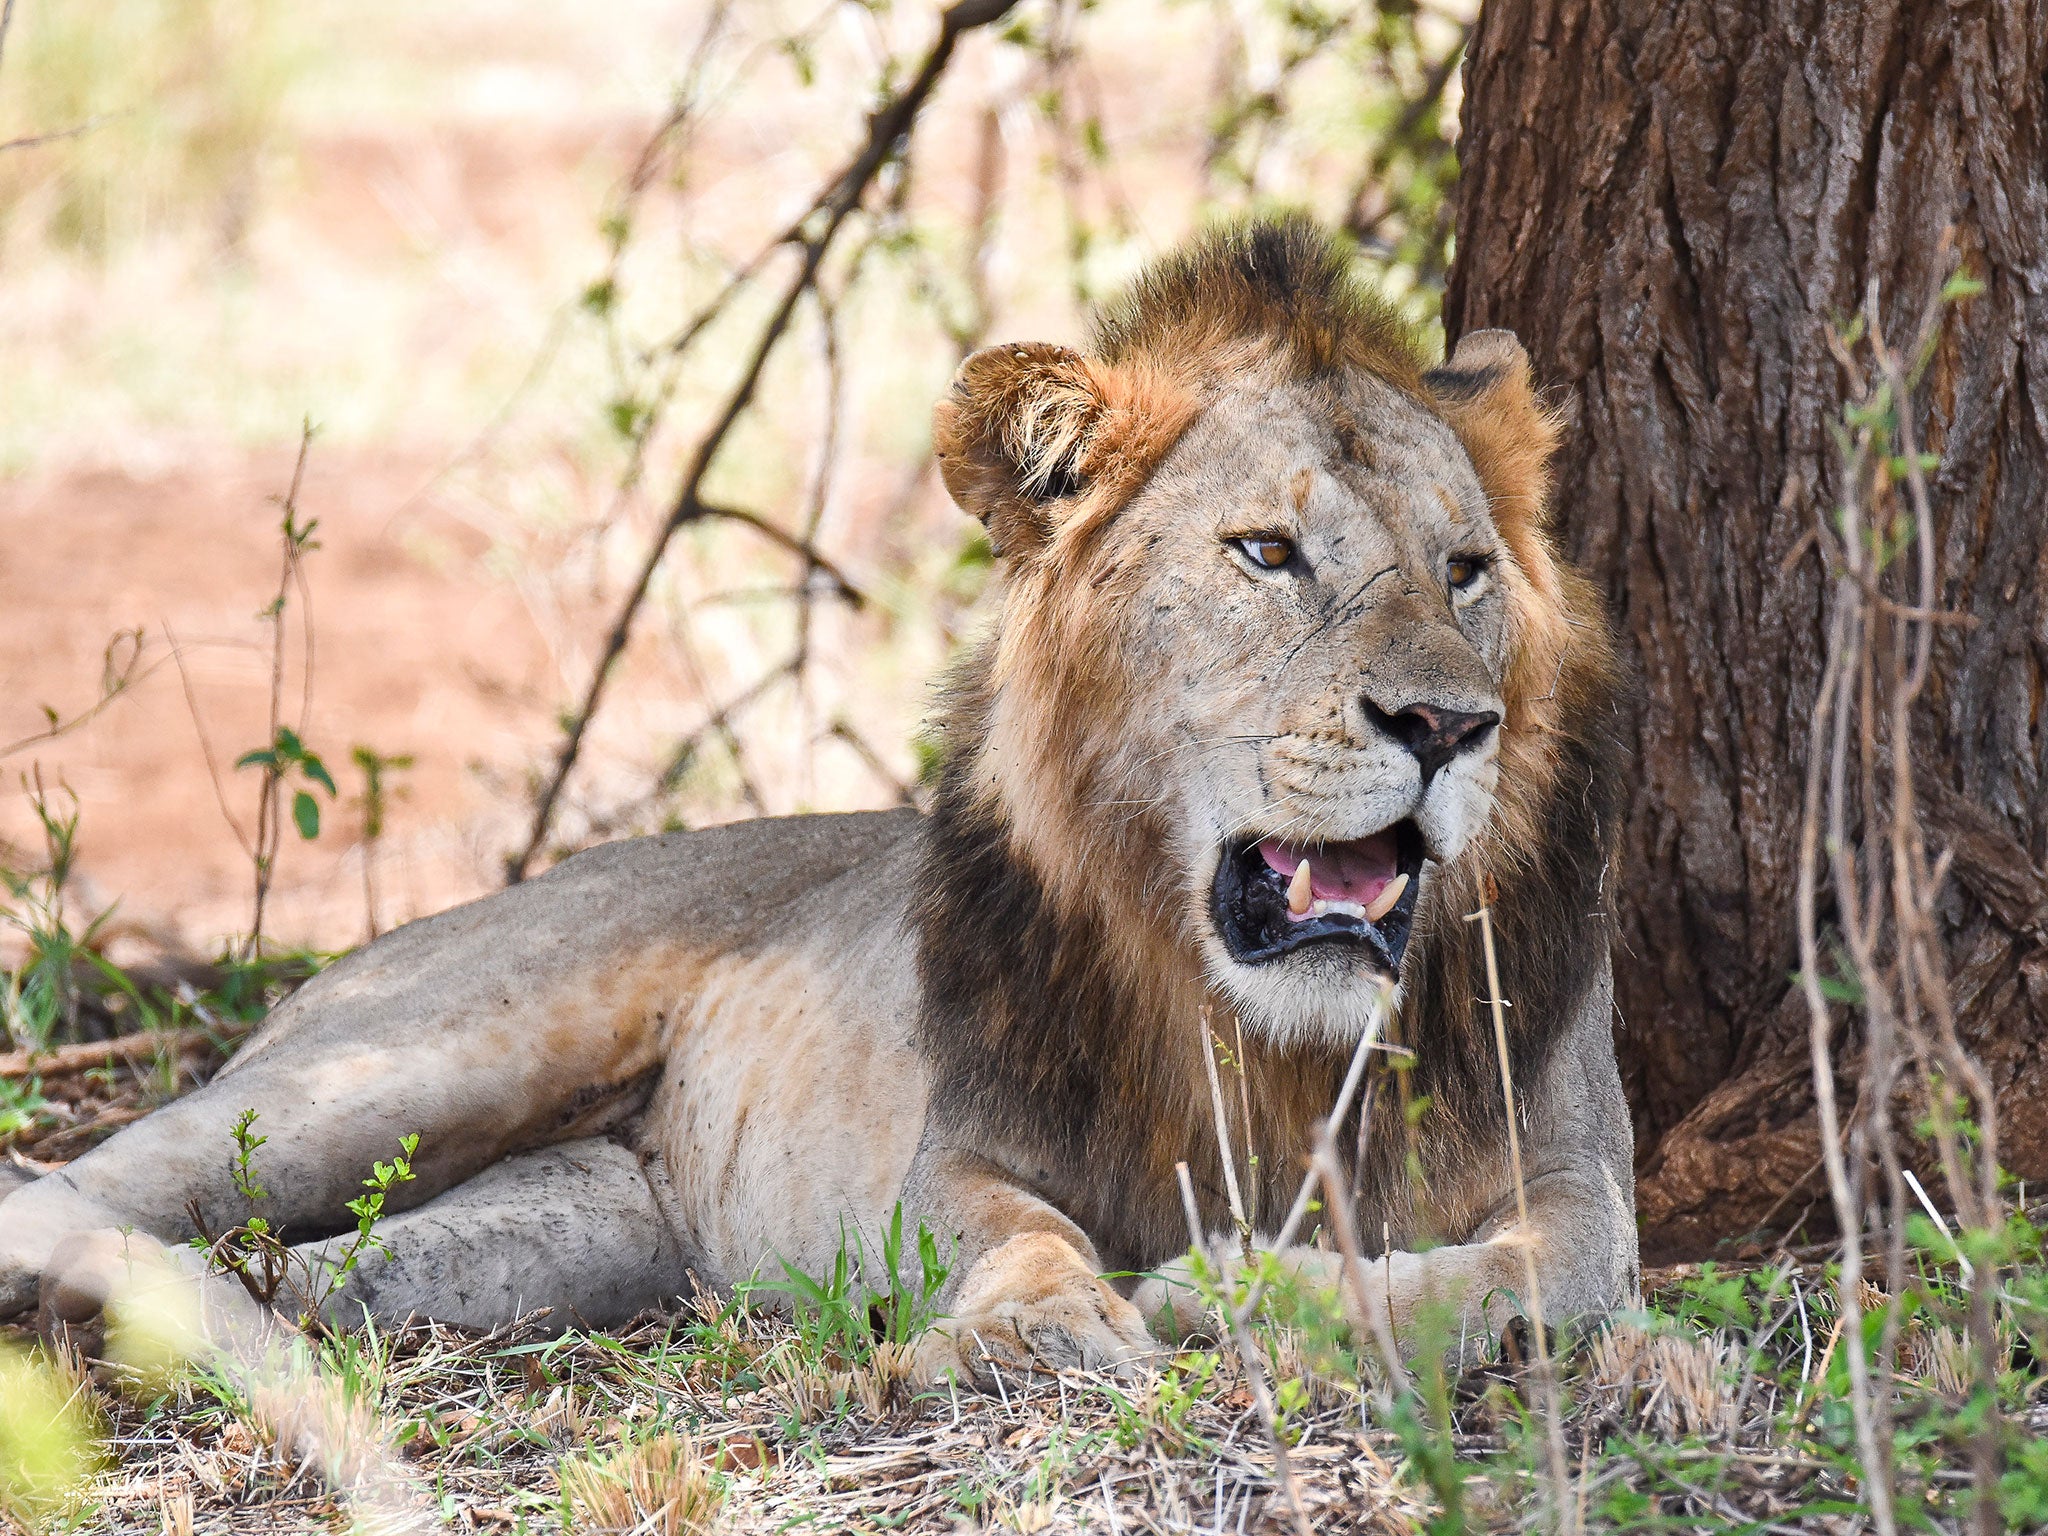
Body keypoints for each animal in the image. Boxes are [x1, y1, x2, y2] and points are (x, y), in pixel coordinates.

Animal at [0, 219, 1638, 1384]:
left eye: (1464, 571)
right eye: (1266, 555)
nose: (1446, 725)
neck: (1265, 1042)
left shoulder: (1578, 1169)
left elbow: (1533, 1276)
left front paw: (1244, 1286)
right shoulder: (953, 1150)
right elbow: (1011, 1230)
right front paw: (1050, 1324)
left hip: (576, 1235)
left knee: (311, 1272)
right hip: (403, 1062)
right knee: (66, 1191)